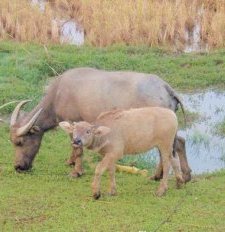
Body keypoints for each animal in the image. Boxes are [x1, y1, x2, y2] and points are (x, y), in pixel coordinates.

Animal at [9, 67, 192, 181]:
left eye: (20, 142)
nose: (18, 166)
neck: (58, 95)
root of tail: (166, 88)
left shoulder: (73, 122)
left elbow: (77, 147)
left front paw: (76, 172)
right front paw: (71, 162)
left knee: (166, 150)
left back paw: (158, 176)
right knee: (179, 143)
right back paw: (184, 175)